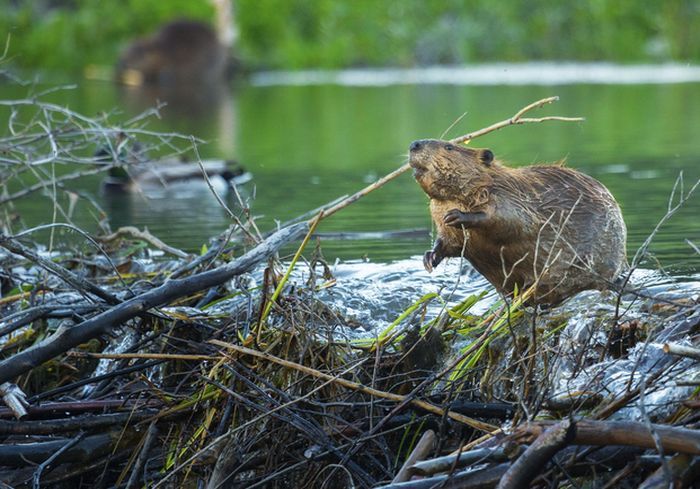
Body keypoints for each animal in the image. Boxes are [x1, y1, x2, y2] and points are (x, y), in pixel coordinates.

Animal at [408, 138, 628, 304]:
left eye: (449, 147)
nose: (414, 144)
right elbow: (449, 242)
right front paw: (429, 258)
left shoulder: (508, 196)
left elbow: (512, 221)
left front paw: (457, 216)